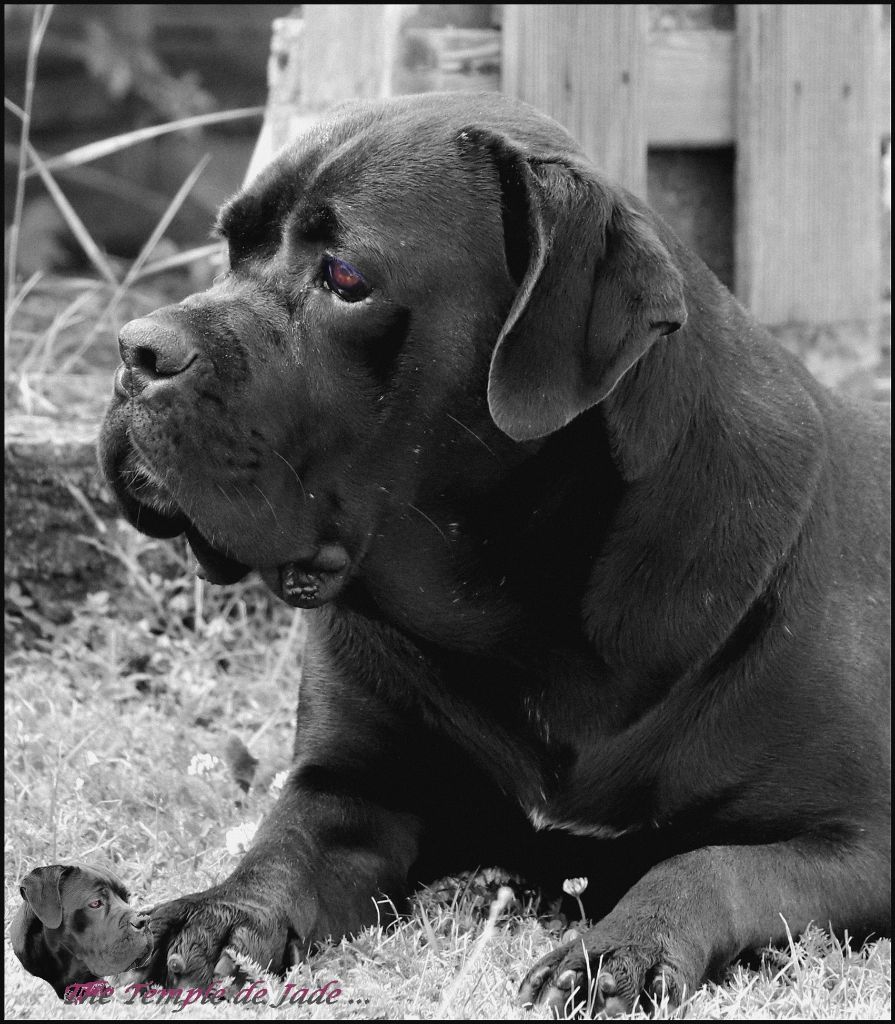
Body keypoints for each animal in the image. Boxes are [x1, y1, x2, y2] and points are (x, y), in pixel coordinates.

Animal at [99, 92, 884, 1011]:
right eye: (229, 247)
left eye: (346, 278)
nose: (137, 347)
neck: (520, 612)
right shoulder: (354, 787)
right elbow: (281, 843)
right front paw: (216, 910)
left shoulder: (861, 838)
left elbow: (707, 867)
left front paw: (614, 949)